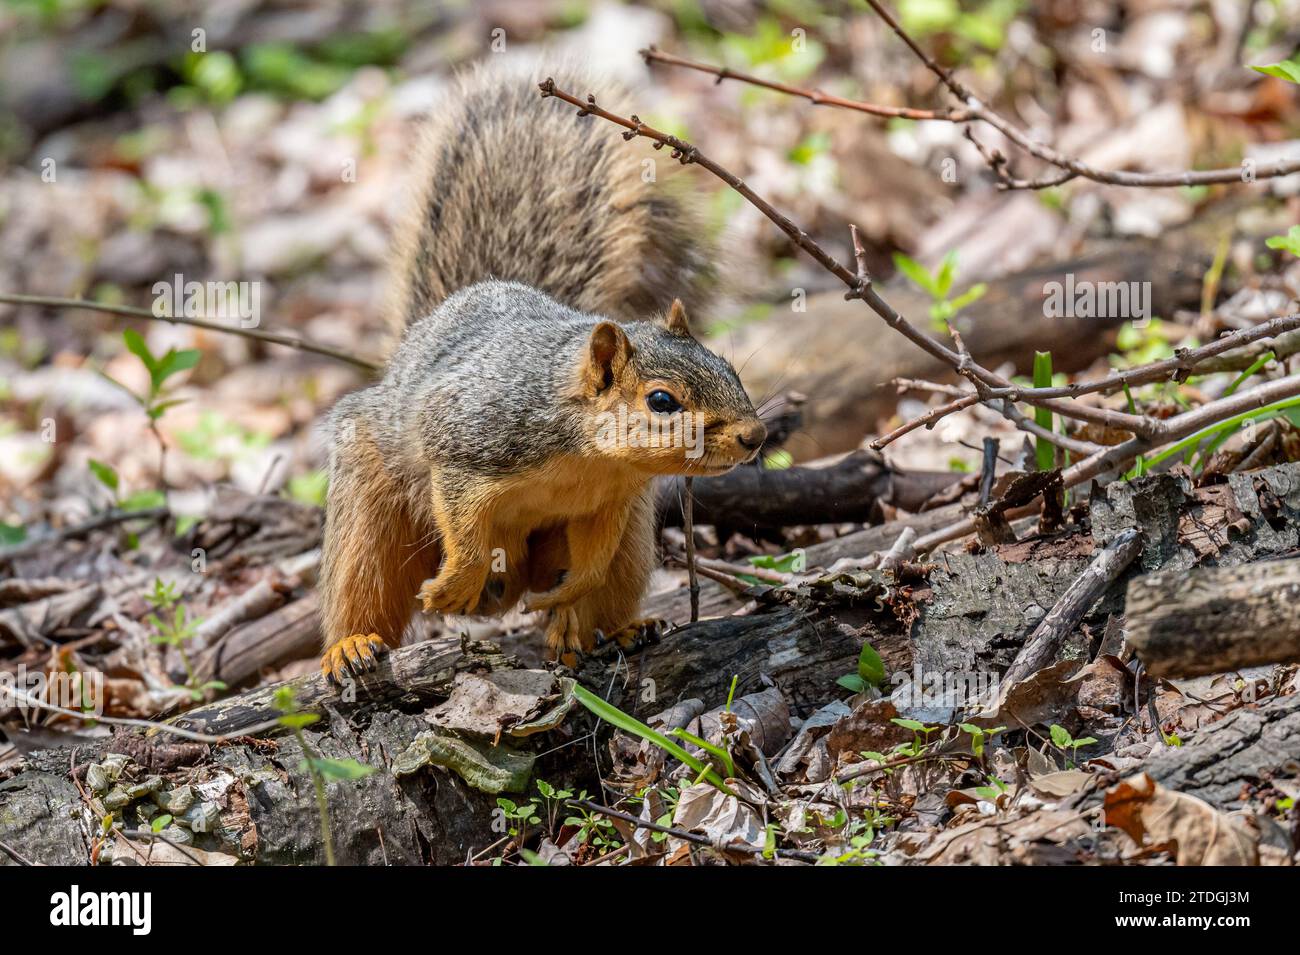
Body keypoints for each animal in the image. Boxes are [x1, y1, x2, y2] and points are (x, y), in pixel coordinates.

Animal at [318, 63, 759, 686]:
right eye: (661, 401)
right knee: (365, 579)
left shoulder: (612, 503)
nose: (755, 435)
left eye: (728, 367)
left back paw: (599, 627)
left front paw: (564, 598)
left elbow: (593, 563)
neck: (588, 456)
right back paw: (352, 643)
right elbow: (464, 528)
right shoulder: (468, 441)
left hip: (631, 539)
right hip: (371, 498)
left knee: (608, 582)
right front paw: (452, 588)